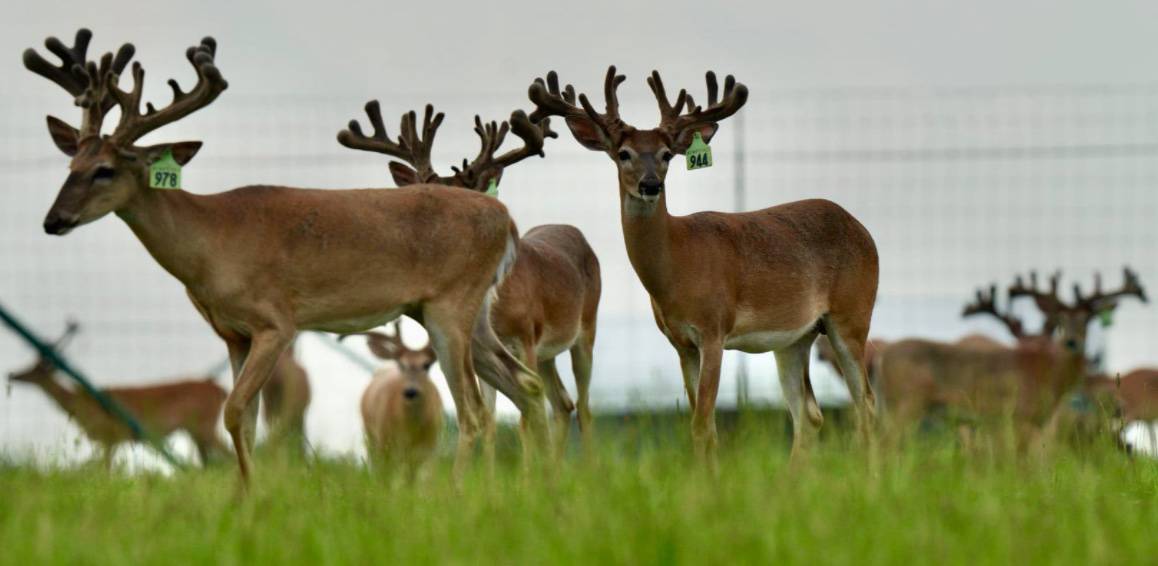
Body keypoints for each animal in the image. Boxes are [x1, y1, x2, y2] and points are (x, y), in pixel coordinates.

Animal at [6, 322, 230, 467]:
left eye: (35, 369)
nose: (12, 374)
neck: (82, 406)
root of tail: (222, 391)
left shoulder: (111, 435)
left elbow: (106, 471)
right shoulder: (112, 440)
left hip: (204, 425)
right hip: (195, 430)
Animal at [338, 102, 602, 456]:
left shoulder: (526, 338)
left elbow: (523, 420)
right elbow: (489, 420)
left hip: (585, 331)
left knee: (583, 408)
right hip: (549, 353)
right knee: (562, 404)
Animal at [345, 322, 444, 478]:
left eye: (426, 365)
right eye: (401, 364)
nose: (411, 391)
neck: (411, 430)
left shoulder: (430, 447)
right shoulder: (385, 443)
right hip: (370, 435)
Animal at [524, 67, 879, 462]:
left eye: (666, 154)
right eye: (623, 153)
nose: (650, 185)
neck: (678, 264)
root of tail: (862, 229)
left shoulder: (714, 329)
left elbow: (701, 424)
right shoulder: (681, 342)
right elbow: (704, 425)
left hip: (852, 315)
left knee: (866, 404)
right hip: (795, 337)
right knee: (809, 415)